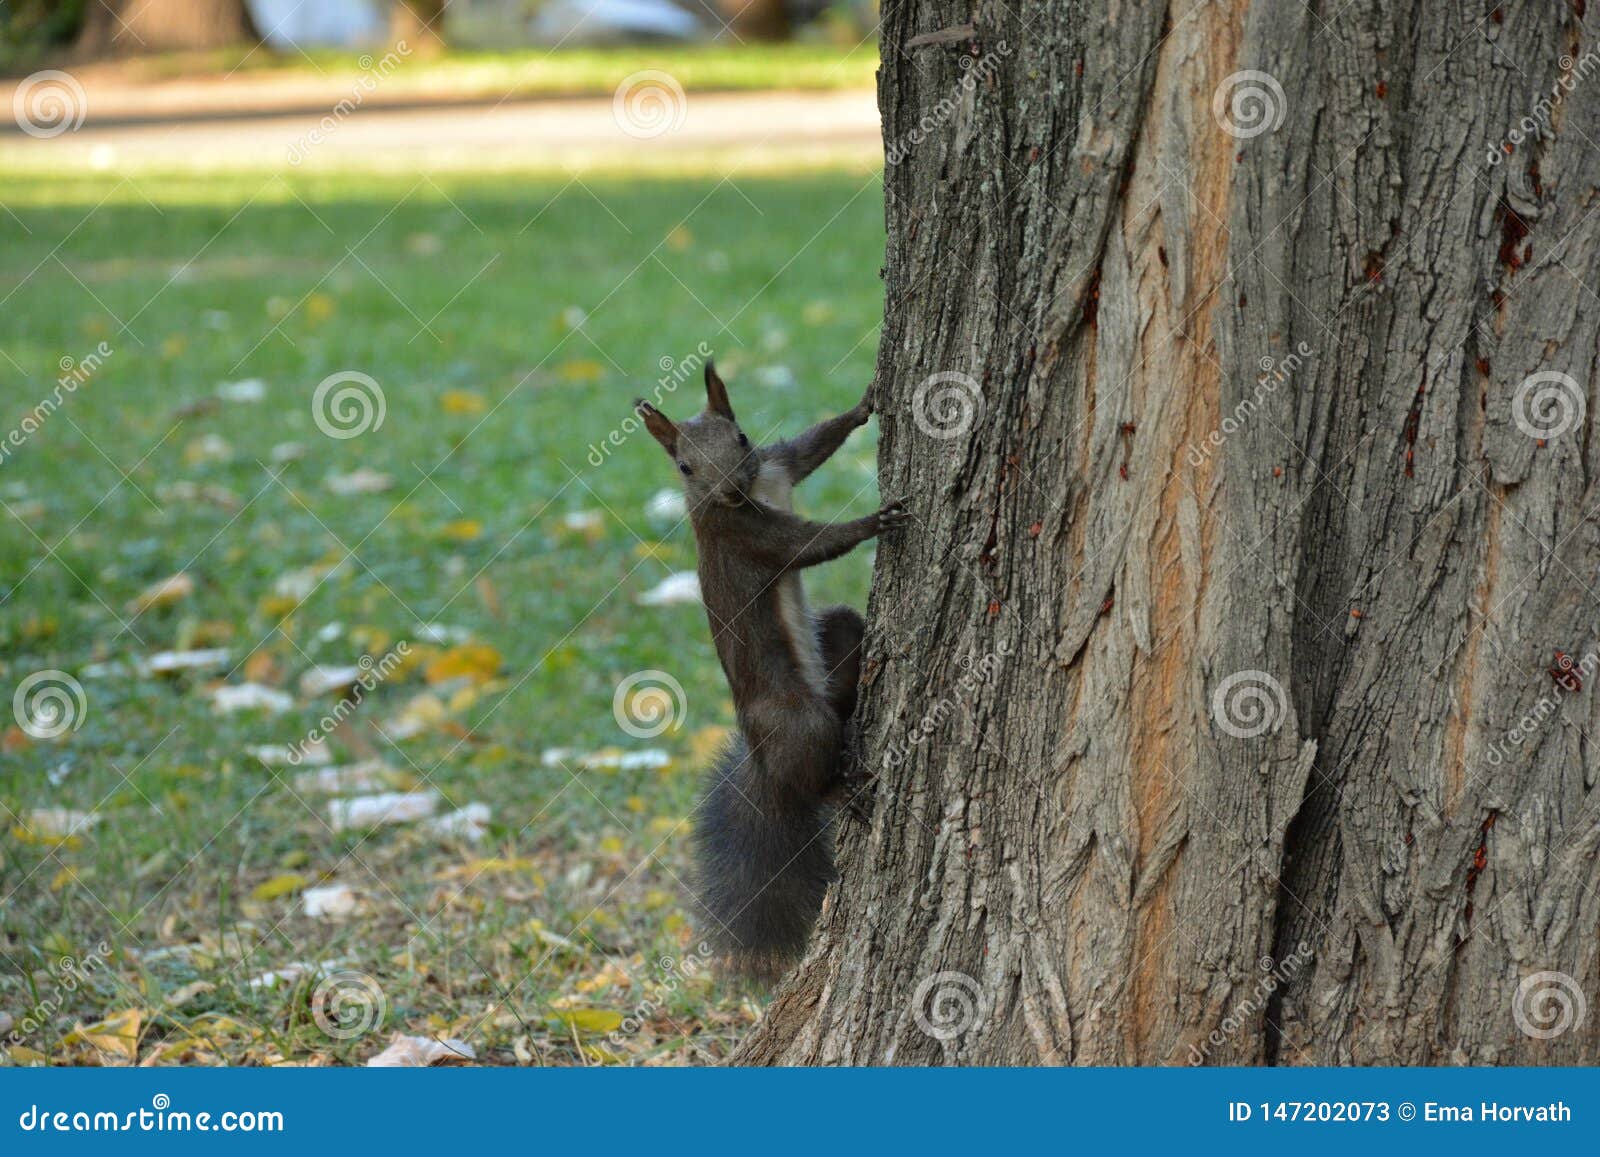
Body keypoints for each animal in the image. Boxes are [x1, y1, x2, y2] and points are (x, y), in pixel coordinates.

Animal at [636, 362, 906, 979]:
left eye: (741, 438)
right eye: (684, 467)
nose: (732, 487)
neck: (749, 497)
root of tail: (762, 759)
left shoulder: (778, 464)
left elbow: (812, 446)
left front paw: (864, 405)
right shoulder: (751, 538)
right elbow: (813, 543)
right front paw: (873, 521)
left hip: (838, 638)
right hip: (797, 719)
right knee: (813, 775)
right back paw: (841, 789)